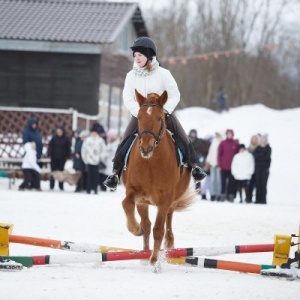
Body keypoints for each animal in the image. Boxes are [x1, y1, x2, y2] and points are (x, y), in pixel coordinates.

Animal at [122, 89, 197, 270]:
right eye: (139, 117)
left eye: (159, 118)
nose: (145, 147)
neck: (151, 163)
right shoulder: (135, 193)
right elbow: (127, 204)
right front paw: (136, 229)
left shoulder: (165, 198)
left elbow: (158, 229)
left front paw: (155, 261)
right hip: (144, 202)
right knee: (147, 224)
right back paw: (144, 252)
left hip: (171, 199)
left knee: (167, 219)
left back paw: (167, 244)